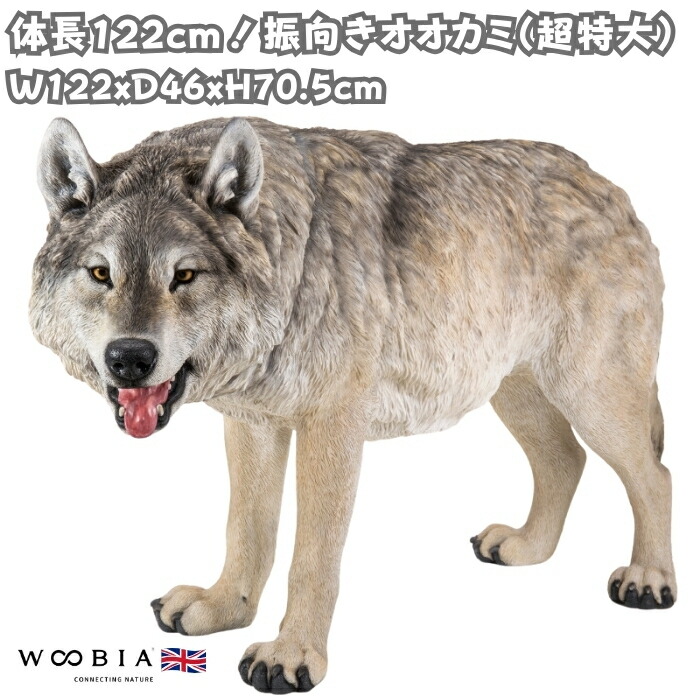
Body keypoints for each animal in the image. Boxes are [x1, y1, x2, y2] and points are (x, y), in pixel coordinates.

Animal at [31, 116, 674, 693]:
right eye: (101, 273)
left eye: (183, 276)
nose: (129, 358)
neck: (289, 269)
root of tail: (612, 189)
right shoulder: (254, 422)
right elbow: (246, 530)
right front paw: (224, 608)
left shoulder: (331, 429)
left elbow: (312, 559)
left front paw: (292, 657)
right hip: (514, 393)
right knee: (566, 460)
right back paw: (524, 547)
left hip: (591, 396)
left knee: (654, 475)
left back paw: (648, 580)